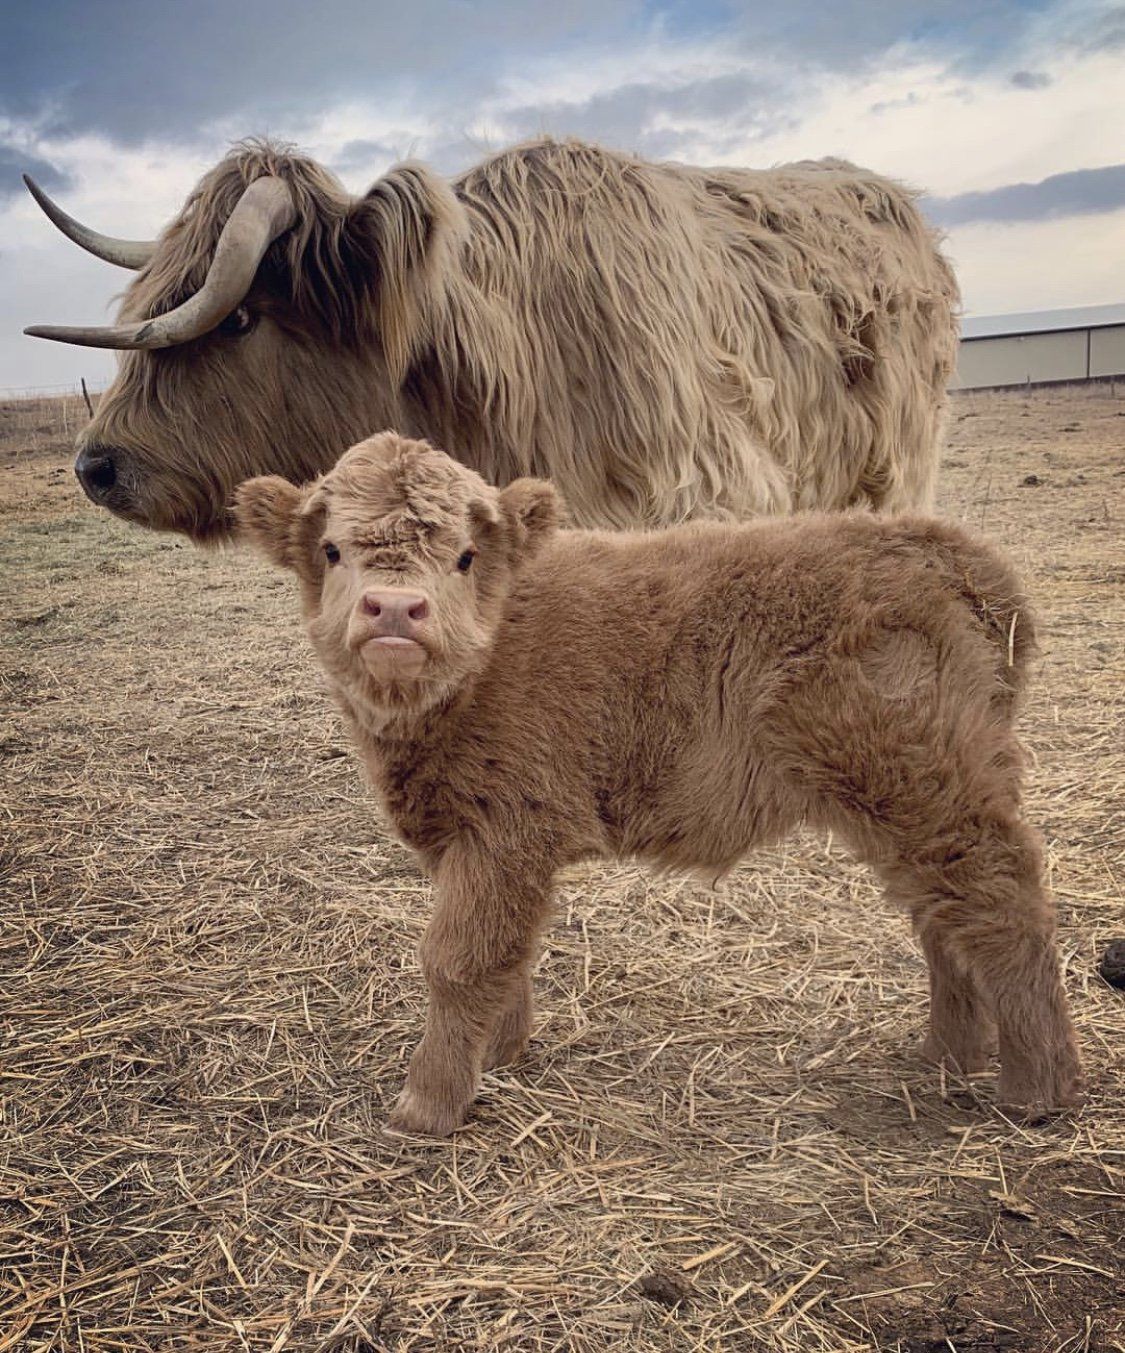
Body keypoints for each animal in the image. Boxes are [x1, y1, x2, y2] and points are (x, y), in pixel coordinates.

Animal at [235, 430, 1083, 1131]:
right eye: (333, 550)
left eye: (465, 556)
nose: (395, 608)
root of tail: (947, 550)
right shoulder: (466, 839)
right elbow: (504, 955)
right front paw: (500, 1056)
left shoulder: (508, 828)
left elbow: (459, 959)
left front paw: (427, 1105)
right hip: (906, 799)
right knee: (940, 912)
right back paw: (946, 1055)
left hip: (930, 784)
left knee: (1002, 906)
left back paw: (1035, 1090)